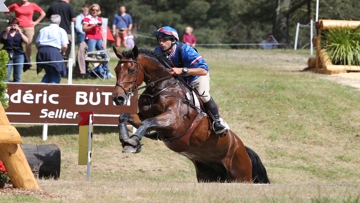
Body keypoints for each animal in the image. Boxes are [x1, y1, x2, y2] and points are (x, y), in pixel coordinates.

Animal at [112, 46, 270, 184]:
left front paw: (132, 142)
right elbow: (125, 116)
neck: (161, 87)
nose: (118, 98)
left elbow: (147, 122)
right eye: (116, 70)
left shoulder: (173, 121)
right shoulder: (144, 117)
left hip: (241, 176)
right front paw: (125, 139)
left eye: (131, 70)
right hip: (207, 176)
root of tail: (242, 148)